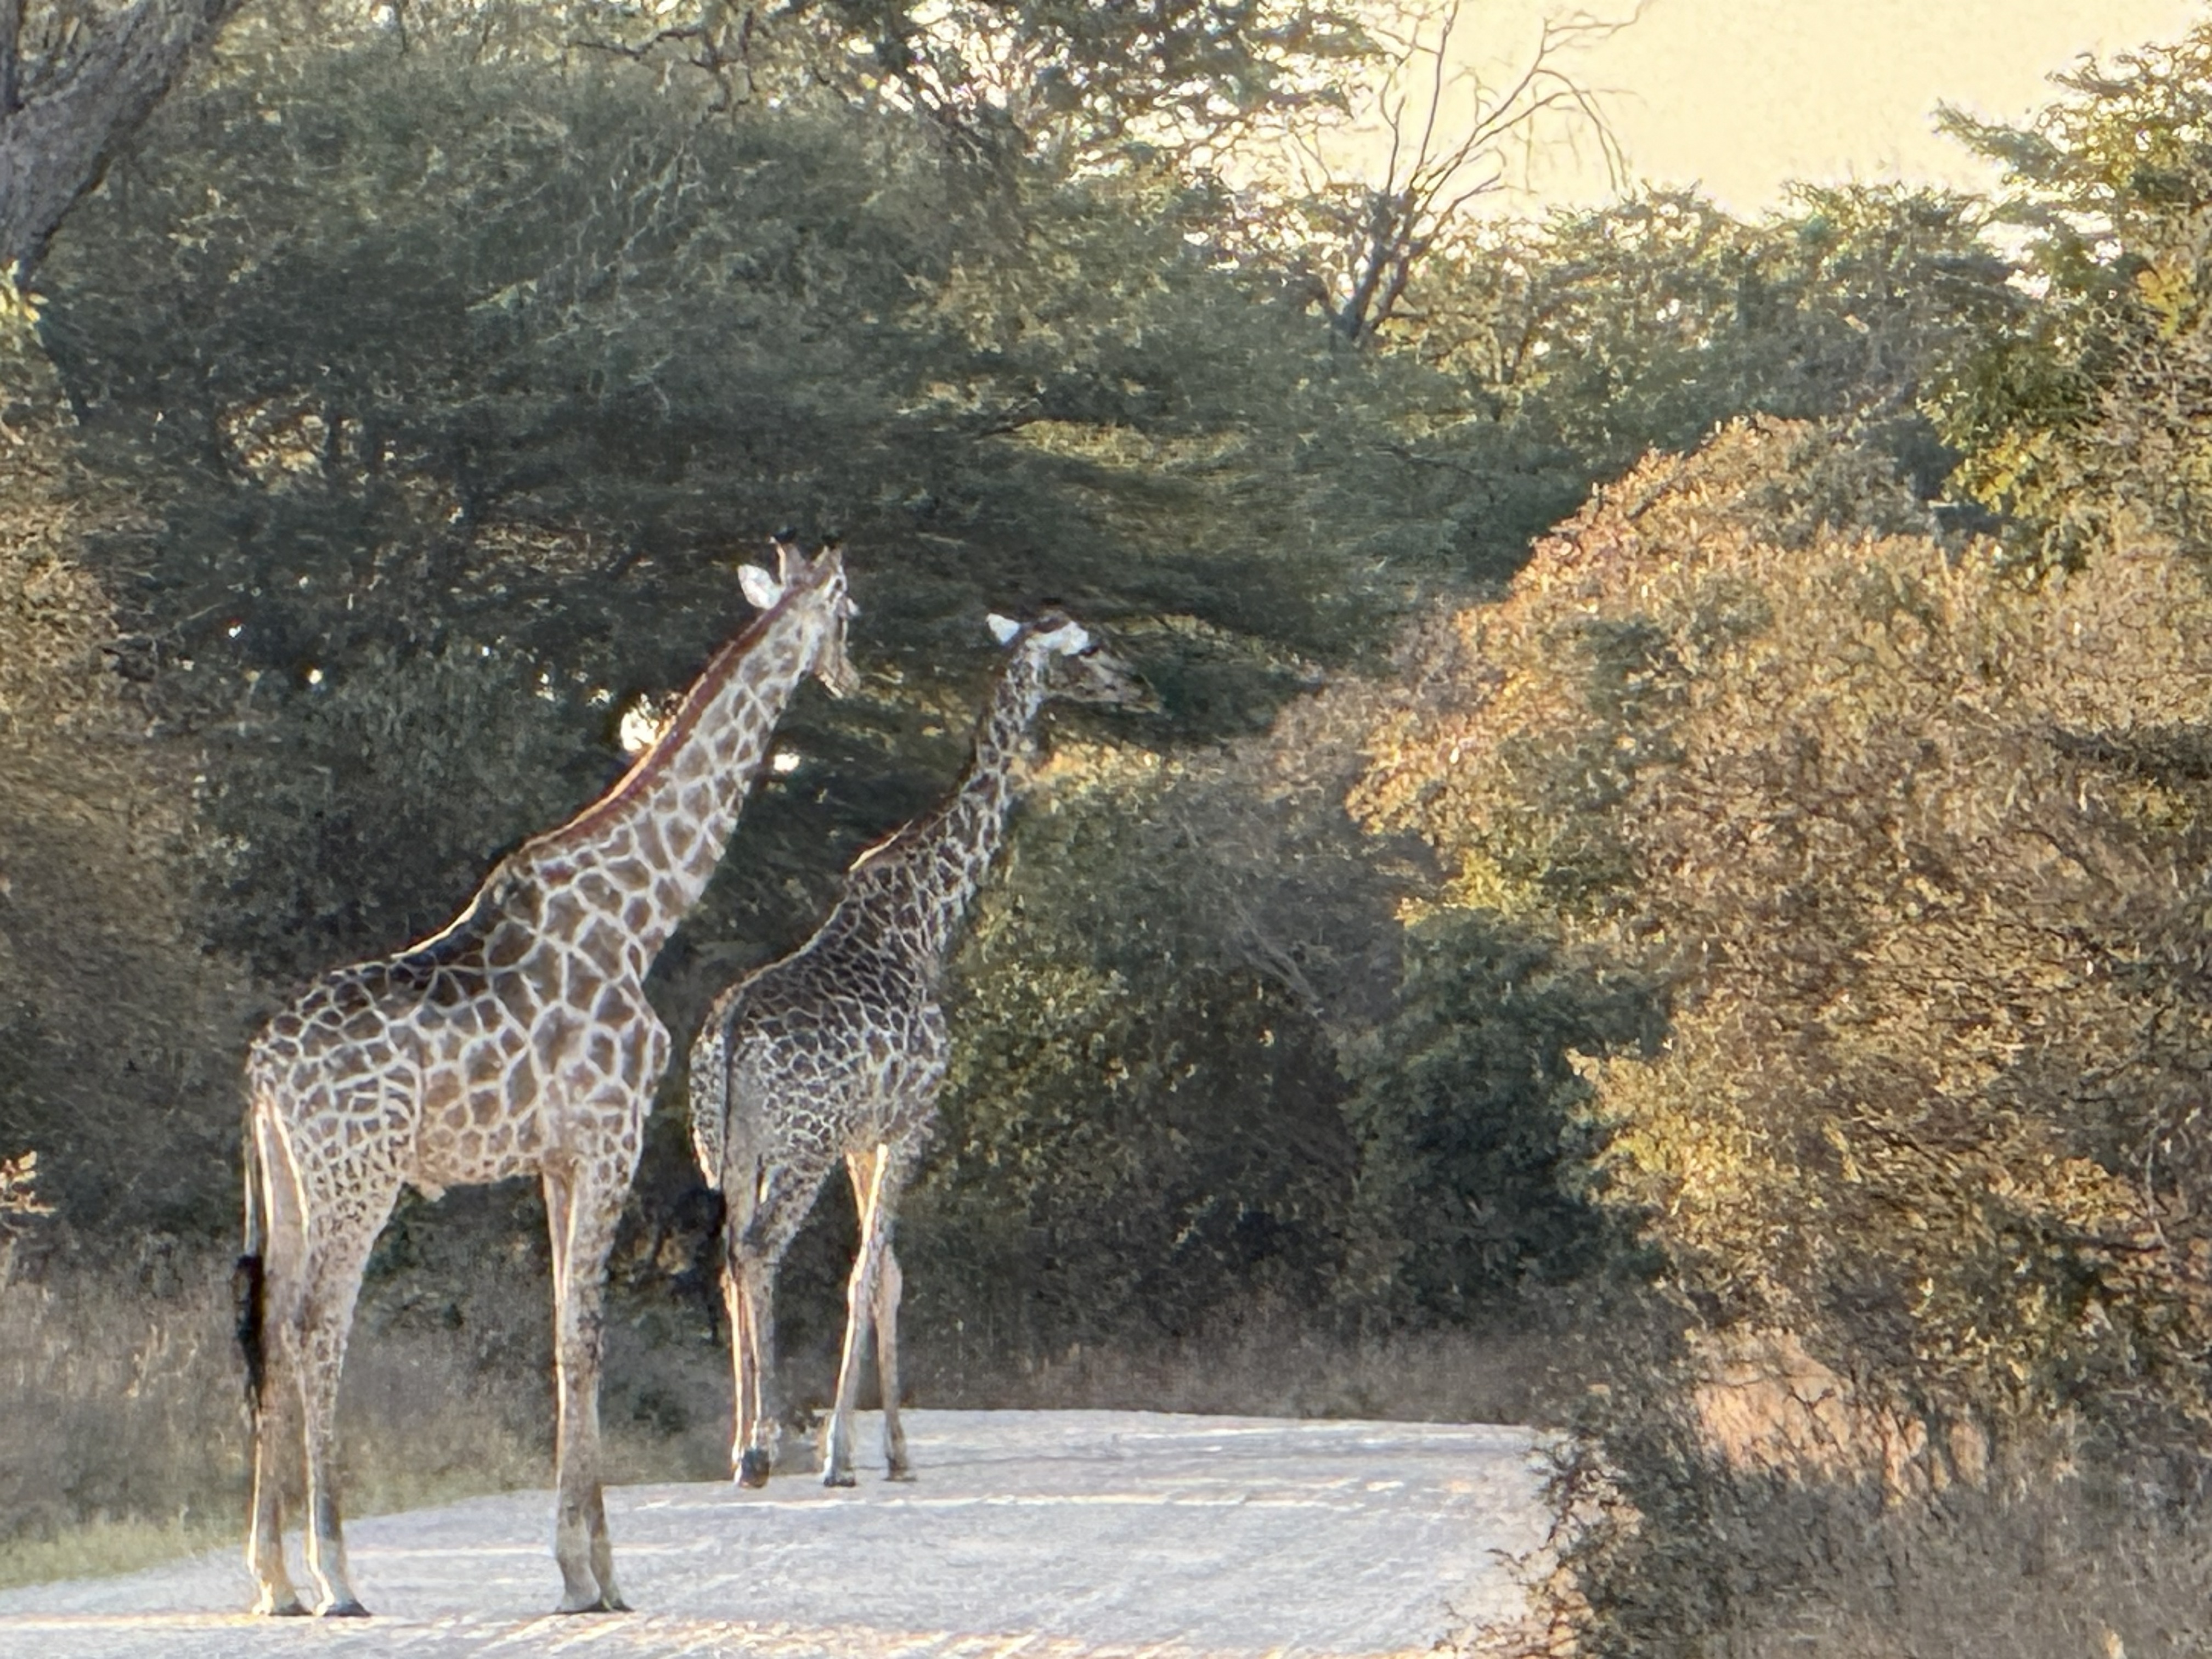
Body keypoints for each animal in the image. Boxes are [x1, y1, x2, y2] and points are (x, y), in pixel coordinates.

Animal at [236, 544, 858, 1618]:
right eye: (849, 611)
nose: (851, 673)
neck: (639, 914)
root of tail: (265, 1067)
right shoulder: (611, 1135)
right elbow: (588, 1336)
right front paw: (592, 1573)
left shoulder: (557, 1158)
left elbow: (563, 1332)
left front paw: (583, 1565)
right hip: (358, 1172)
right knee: (318, 1324)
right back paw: (338, 1574)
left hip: (287, 1174)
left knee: (270, 1323)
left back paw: (274, 1577)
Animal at [689, 608, 1144, 1488]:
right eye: (1095, 645)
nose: (1142, 684)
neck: (926, 917)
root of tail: (727, 1036)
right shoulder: (912, 1121)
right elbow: (869, 1271)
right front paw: (842, 1453)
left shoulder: (865, 1136)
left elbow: (888, 1275)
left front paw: (895, 1449)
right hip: (800, 1147)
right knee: (759, 1251)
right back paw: (764, 1445)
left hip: (728, 1148)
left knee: (728, 1254)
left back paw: (738, 1445)